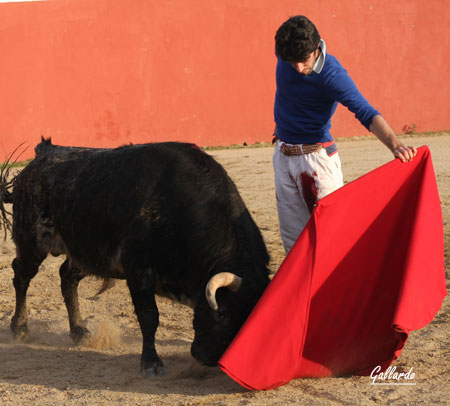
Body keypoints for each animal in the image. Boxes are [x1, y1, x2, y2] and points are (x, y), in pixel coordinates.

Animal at [0, 138, 268, 376]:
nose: (208, 359)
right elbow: (149, 316)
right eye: (222, 313)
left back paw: (79, 330)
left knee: (67, 277)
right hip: (32, 241)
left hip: (86, 251)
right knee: (22, 275)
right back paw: (20, 328)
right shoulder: (138, 269)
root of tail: (42, 154)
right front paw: (150, 364)